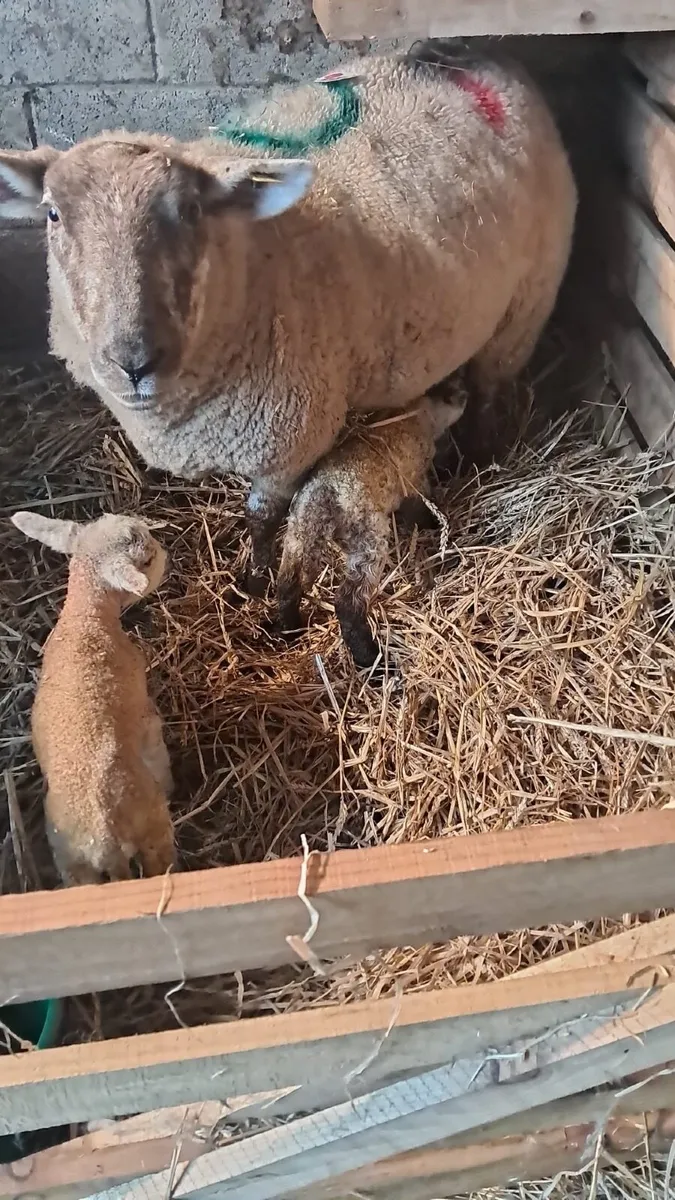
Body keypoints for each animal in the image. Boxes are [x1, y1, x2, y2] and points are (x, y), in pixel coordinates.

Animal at [0, 44, 576, 579]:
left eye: (191, 210)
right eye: (52, 214)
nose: (133, 363)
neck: (248, 267)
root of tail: (480, 54)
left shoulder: (290, 441)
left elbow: (260, 517)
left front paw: (254, 576)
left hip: (523, 310)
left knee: (488, 392)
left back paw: (477, 458)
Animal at [10, 511, 176, 885]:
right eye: (147, 560)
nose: (166, 554)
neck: (85, 618)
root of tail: (105, 839)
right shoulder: (146, 717)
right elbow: (158, 752)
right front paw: (172, 781)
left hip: (73, 864)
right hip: (153, 826)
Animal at [277, 386, 468, 667]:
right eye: (447, 393)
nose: (464, 395)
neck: (419, 415)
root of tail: (327, 492)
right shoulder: (414, 479)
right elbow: (420, 507)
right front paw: (433, 524)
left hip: (300, 530)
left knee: (288, 582)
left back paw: (291, 628)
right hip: (367, 538)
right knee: (347, 602)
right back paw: (369, 657)